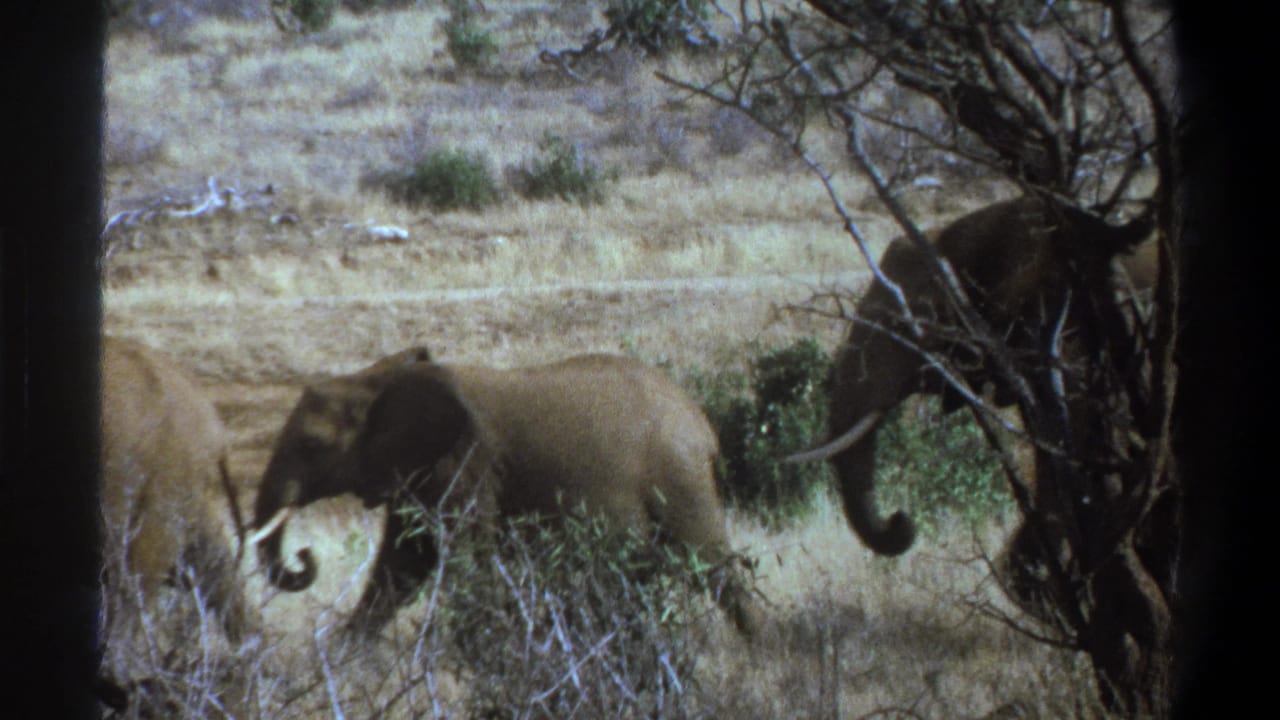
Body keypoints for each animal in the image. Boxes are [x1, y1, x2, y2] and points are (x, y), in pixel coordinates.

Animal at [249, 347, 763, 638]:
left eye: (311, 446)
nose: (304, 558)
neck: (377, 381)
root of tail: (701, 422)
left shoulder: (464, 464)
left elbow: (461, 562)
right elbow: (401, 567)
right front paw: (346, 658)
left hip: (680, 480)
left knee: (714, 570)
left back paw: (760, 650)